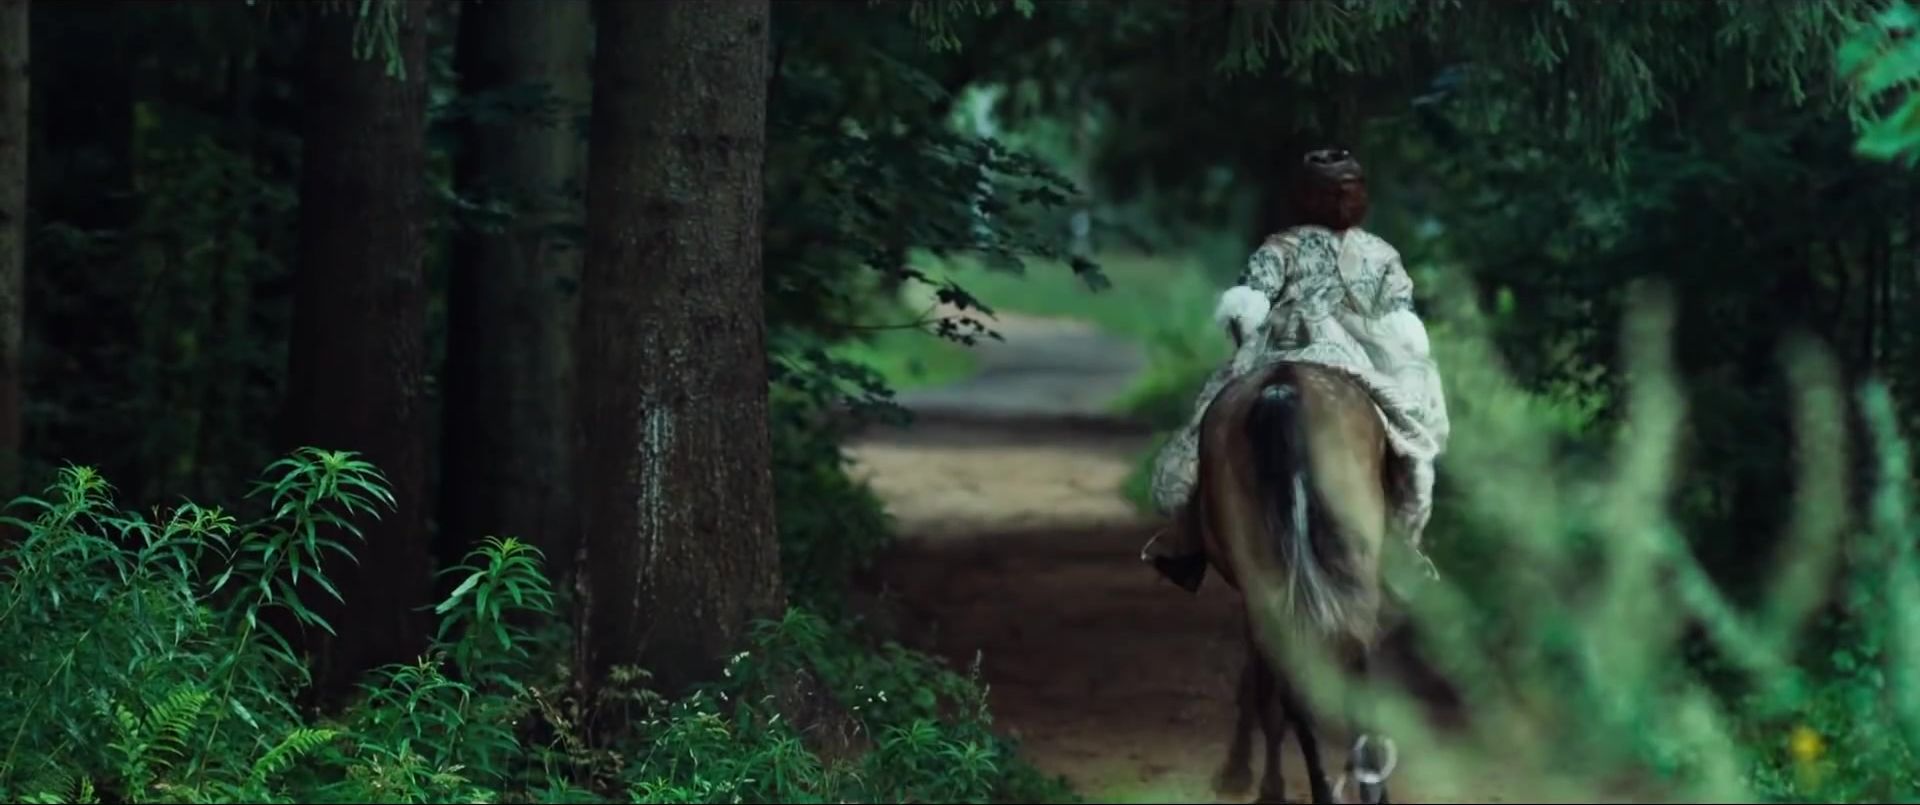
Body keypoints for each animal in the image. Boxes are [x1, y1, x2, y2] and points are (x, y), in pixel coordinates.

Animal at [1190, 358, 1399, 804]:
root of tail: (1282, 389)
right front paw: (1242, 774)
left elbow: (1256, 682)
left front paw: (1241, 773)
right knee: (1347, 667)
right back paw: (1359, 788)